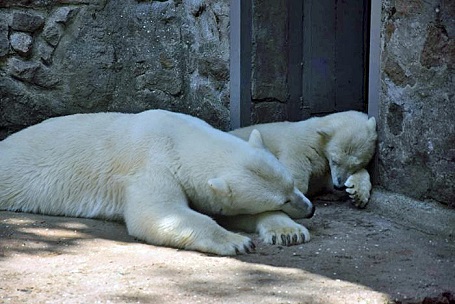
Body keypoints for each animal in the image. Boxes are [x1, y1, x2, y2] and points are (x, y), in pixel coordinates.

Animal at [0, 109, 316, 254]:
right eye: (285, 199)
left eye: (293, 186)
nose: (310, 208)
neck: (180, 136)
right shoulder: (150, 166)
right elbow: (158, 214)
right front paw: (237, 242)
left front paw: (288, 232)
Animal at [232, 111, 378, 209]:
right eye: (335, 160)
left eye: (355, 165)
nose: (339, 185)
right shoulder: (301, 144)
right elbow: (296, 166)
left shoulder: (325, 170)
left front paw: (357, 194)